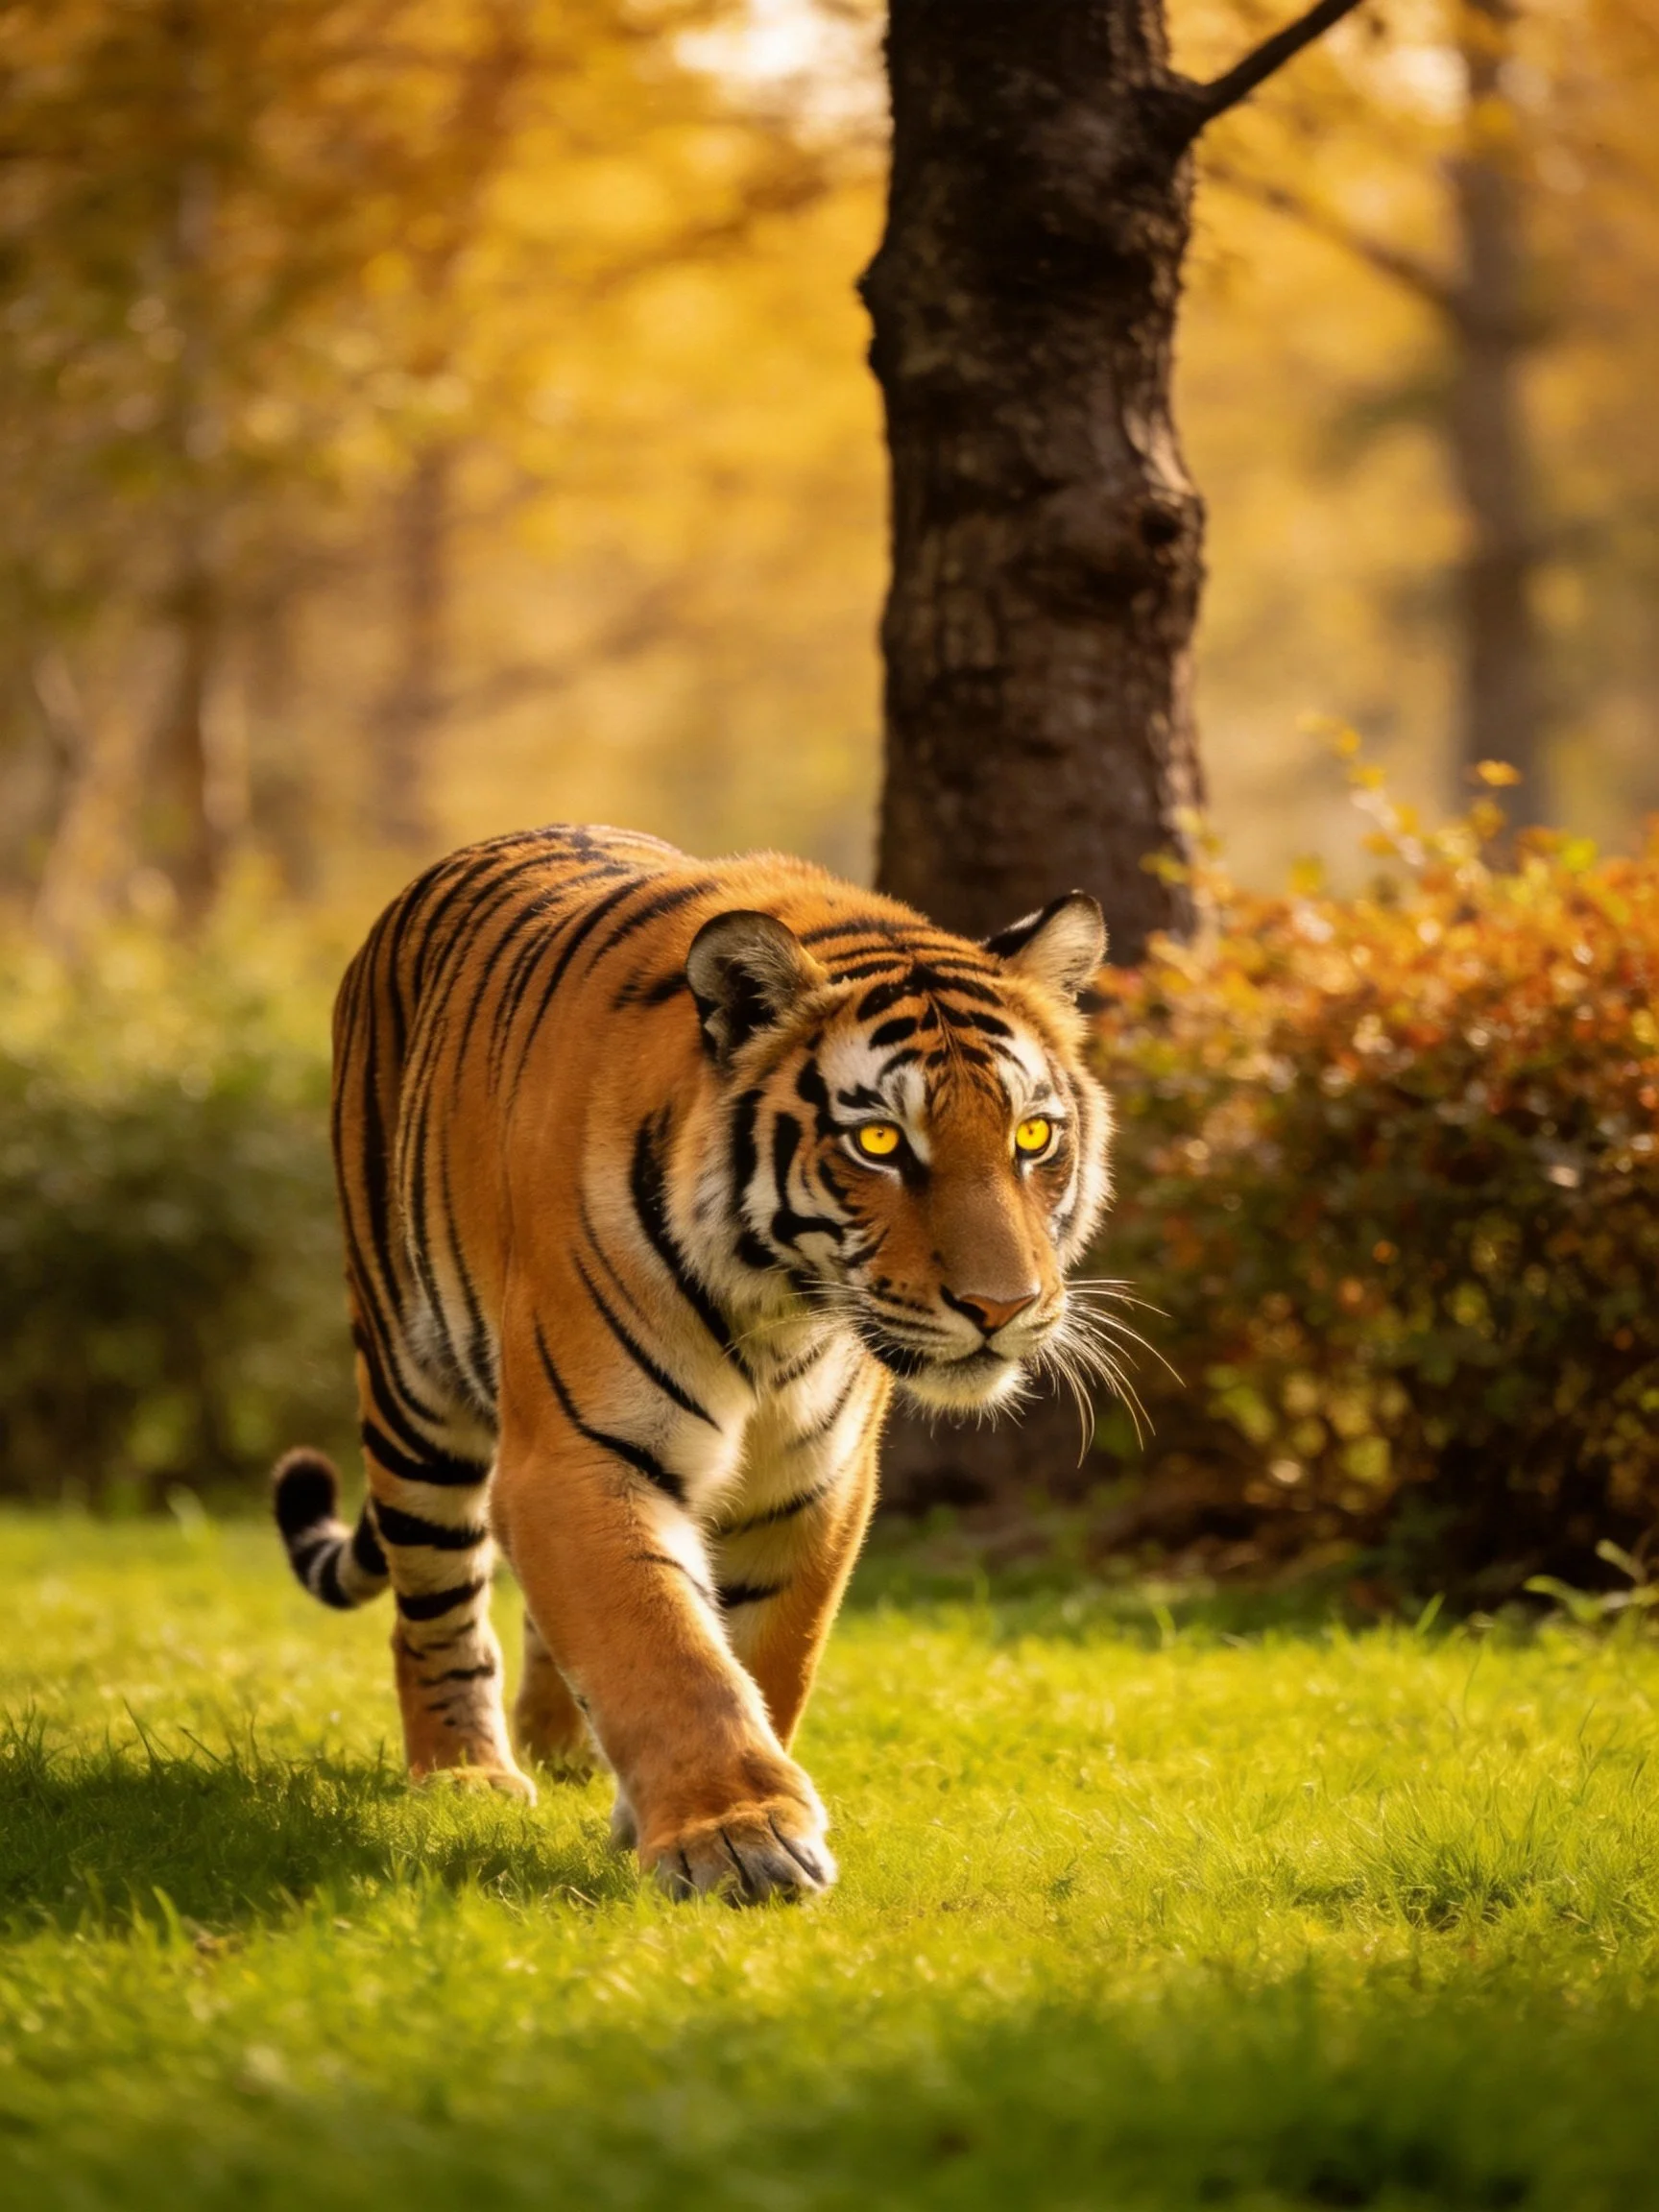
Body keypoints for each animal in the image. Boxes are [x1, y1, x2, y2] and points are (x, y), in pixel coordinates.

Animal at [274, 824, 1113, 1902]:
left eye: (1032, 1136)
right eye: (880, 1141)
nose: (1000, 1308)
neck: (781, 1307)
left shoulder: (813, 1484)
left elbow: (762, 1658)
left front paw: (674, 1817)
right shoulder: (580, 1457)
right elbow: (665, 1648)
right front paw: (739, 1839)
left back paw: (565, 1751)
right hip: (415, 1391)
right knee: (434, 1603)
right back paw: (466, 1772)